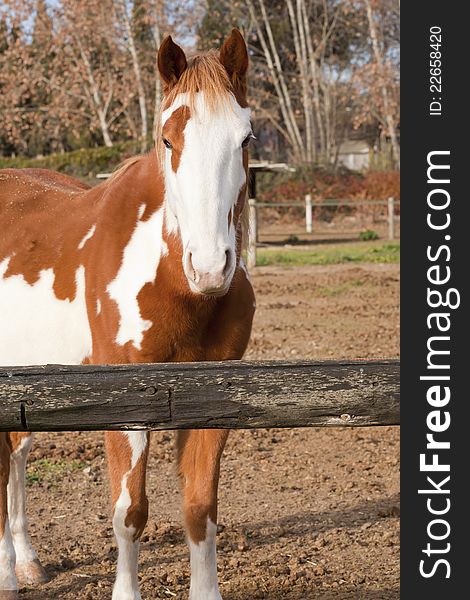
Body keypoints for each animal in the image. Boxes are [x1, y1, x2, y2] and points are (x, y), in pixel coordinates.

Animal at [0, 29, 255, 600]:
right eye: (168, 140)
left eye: (246, 140)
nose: (210, 266)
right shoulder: (123, 402)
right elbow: (129, 513)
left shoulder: (210, 402)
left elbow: (200, 510)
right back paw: (5, 573)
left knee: (16, 455)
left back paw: (24, 563)